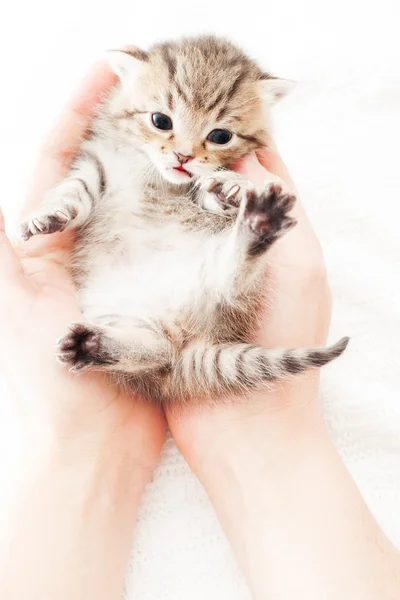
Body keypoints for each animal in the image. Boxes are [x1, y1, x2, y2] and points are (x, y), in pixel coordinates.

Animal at [20, 36, 348, 404]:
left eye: (221, 136)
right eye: (160, 120)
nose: (183, 156)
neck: (153, 171)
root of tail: (186, 340)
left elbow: (208, 191)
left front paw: (232, 187)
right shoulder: (96, 161)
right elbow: (75, 191)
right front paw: (50, 215)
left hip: (225, 279)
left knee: (227, 285)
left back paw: (259, 224)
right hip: (116, 311)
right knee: (159, 350)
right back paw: (92, 345)